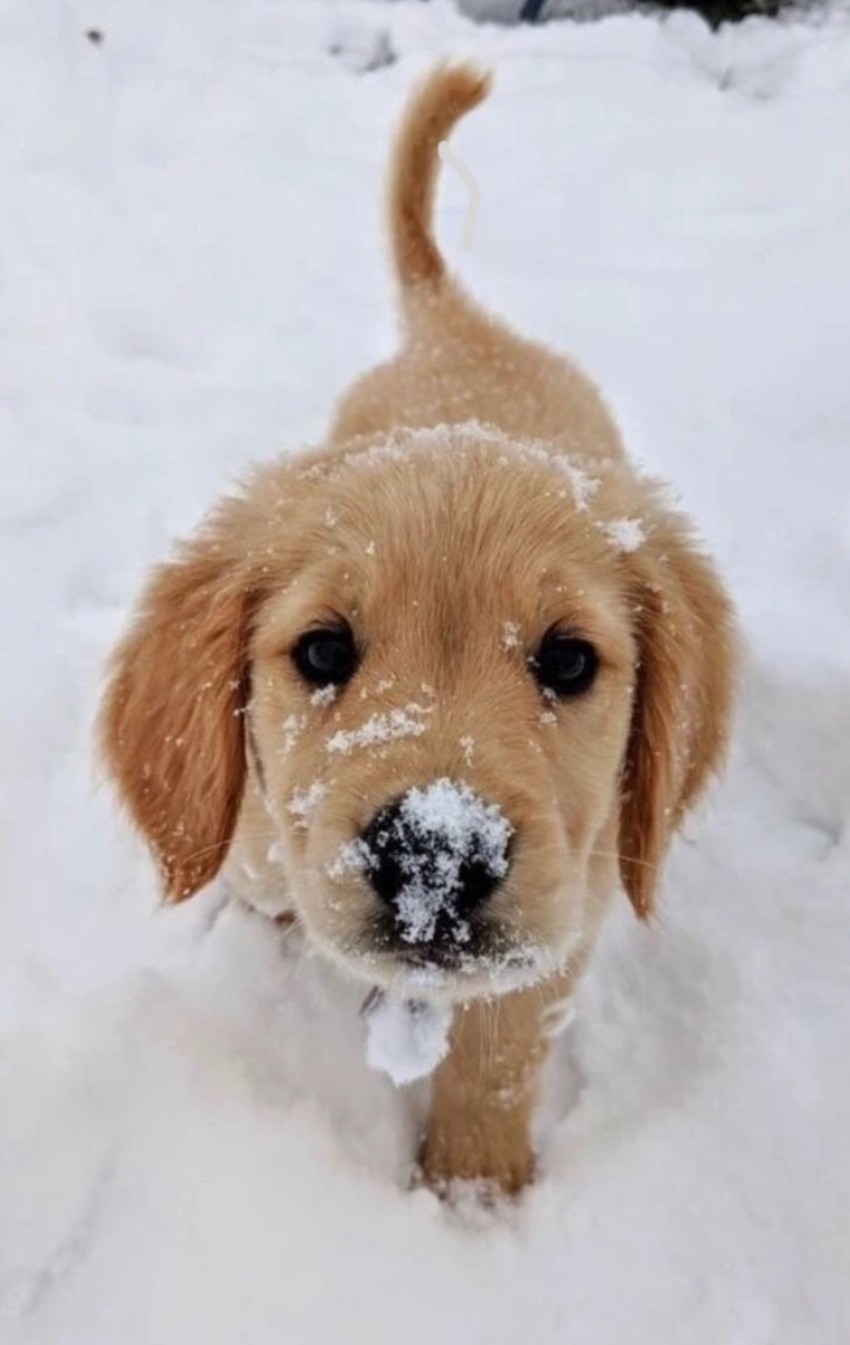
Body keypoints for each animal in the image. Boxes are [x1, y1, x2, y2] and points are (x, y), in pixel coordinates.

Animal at [100, 65, 736, 1194]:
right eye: (321, 649)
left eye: (569, 658)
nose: (435, 854)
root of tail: (458, 322)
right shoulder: (262, 843)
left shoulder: (569, 906)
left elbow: (498, 1050)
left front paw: (474, 1192)